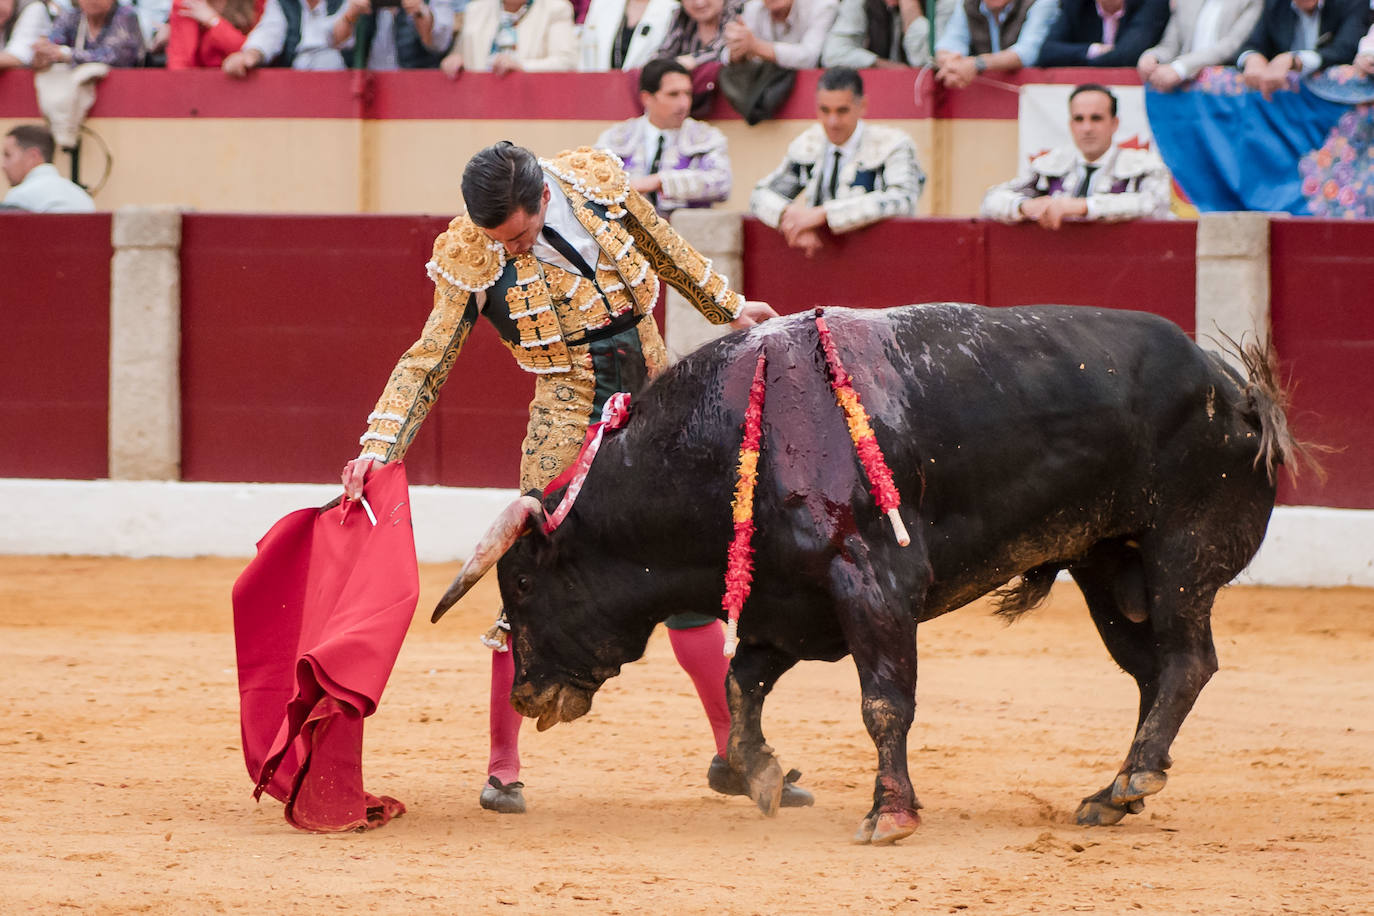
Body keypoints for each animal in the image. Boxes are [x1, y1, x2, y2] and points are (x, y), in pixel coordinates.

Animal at [431, 304, 1297, 851]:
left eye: (524, 587)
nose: (526, 692)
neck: (729, 444)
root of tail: (1238, 391)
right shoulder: (788, 603)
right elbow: (743, 683)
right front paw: (762, 776)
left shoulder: (872, 586)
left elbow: (883, 703)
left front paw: (891, 816)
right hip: (1108, 568)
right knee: (1152, 672)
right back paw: (1112, 793)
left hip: (1178, 551)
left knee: (1187, 662)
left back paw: (1132, 780)